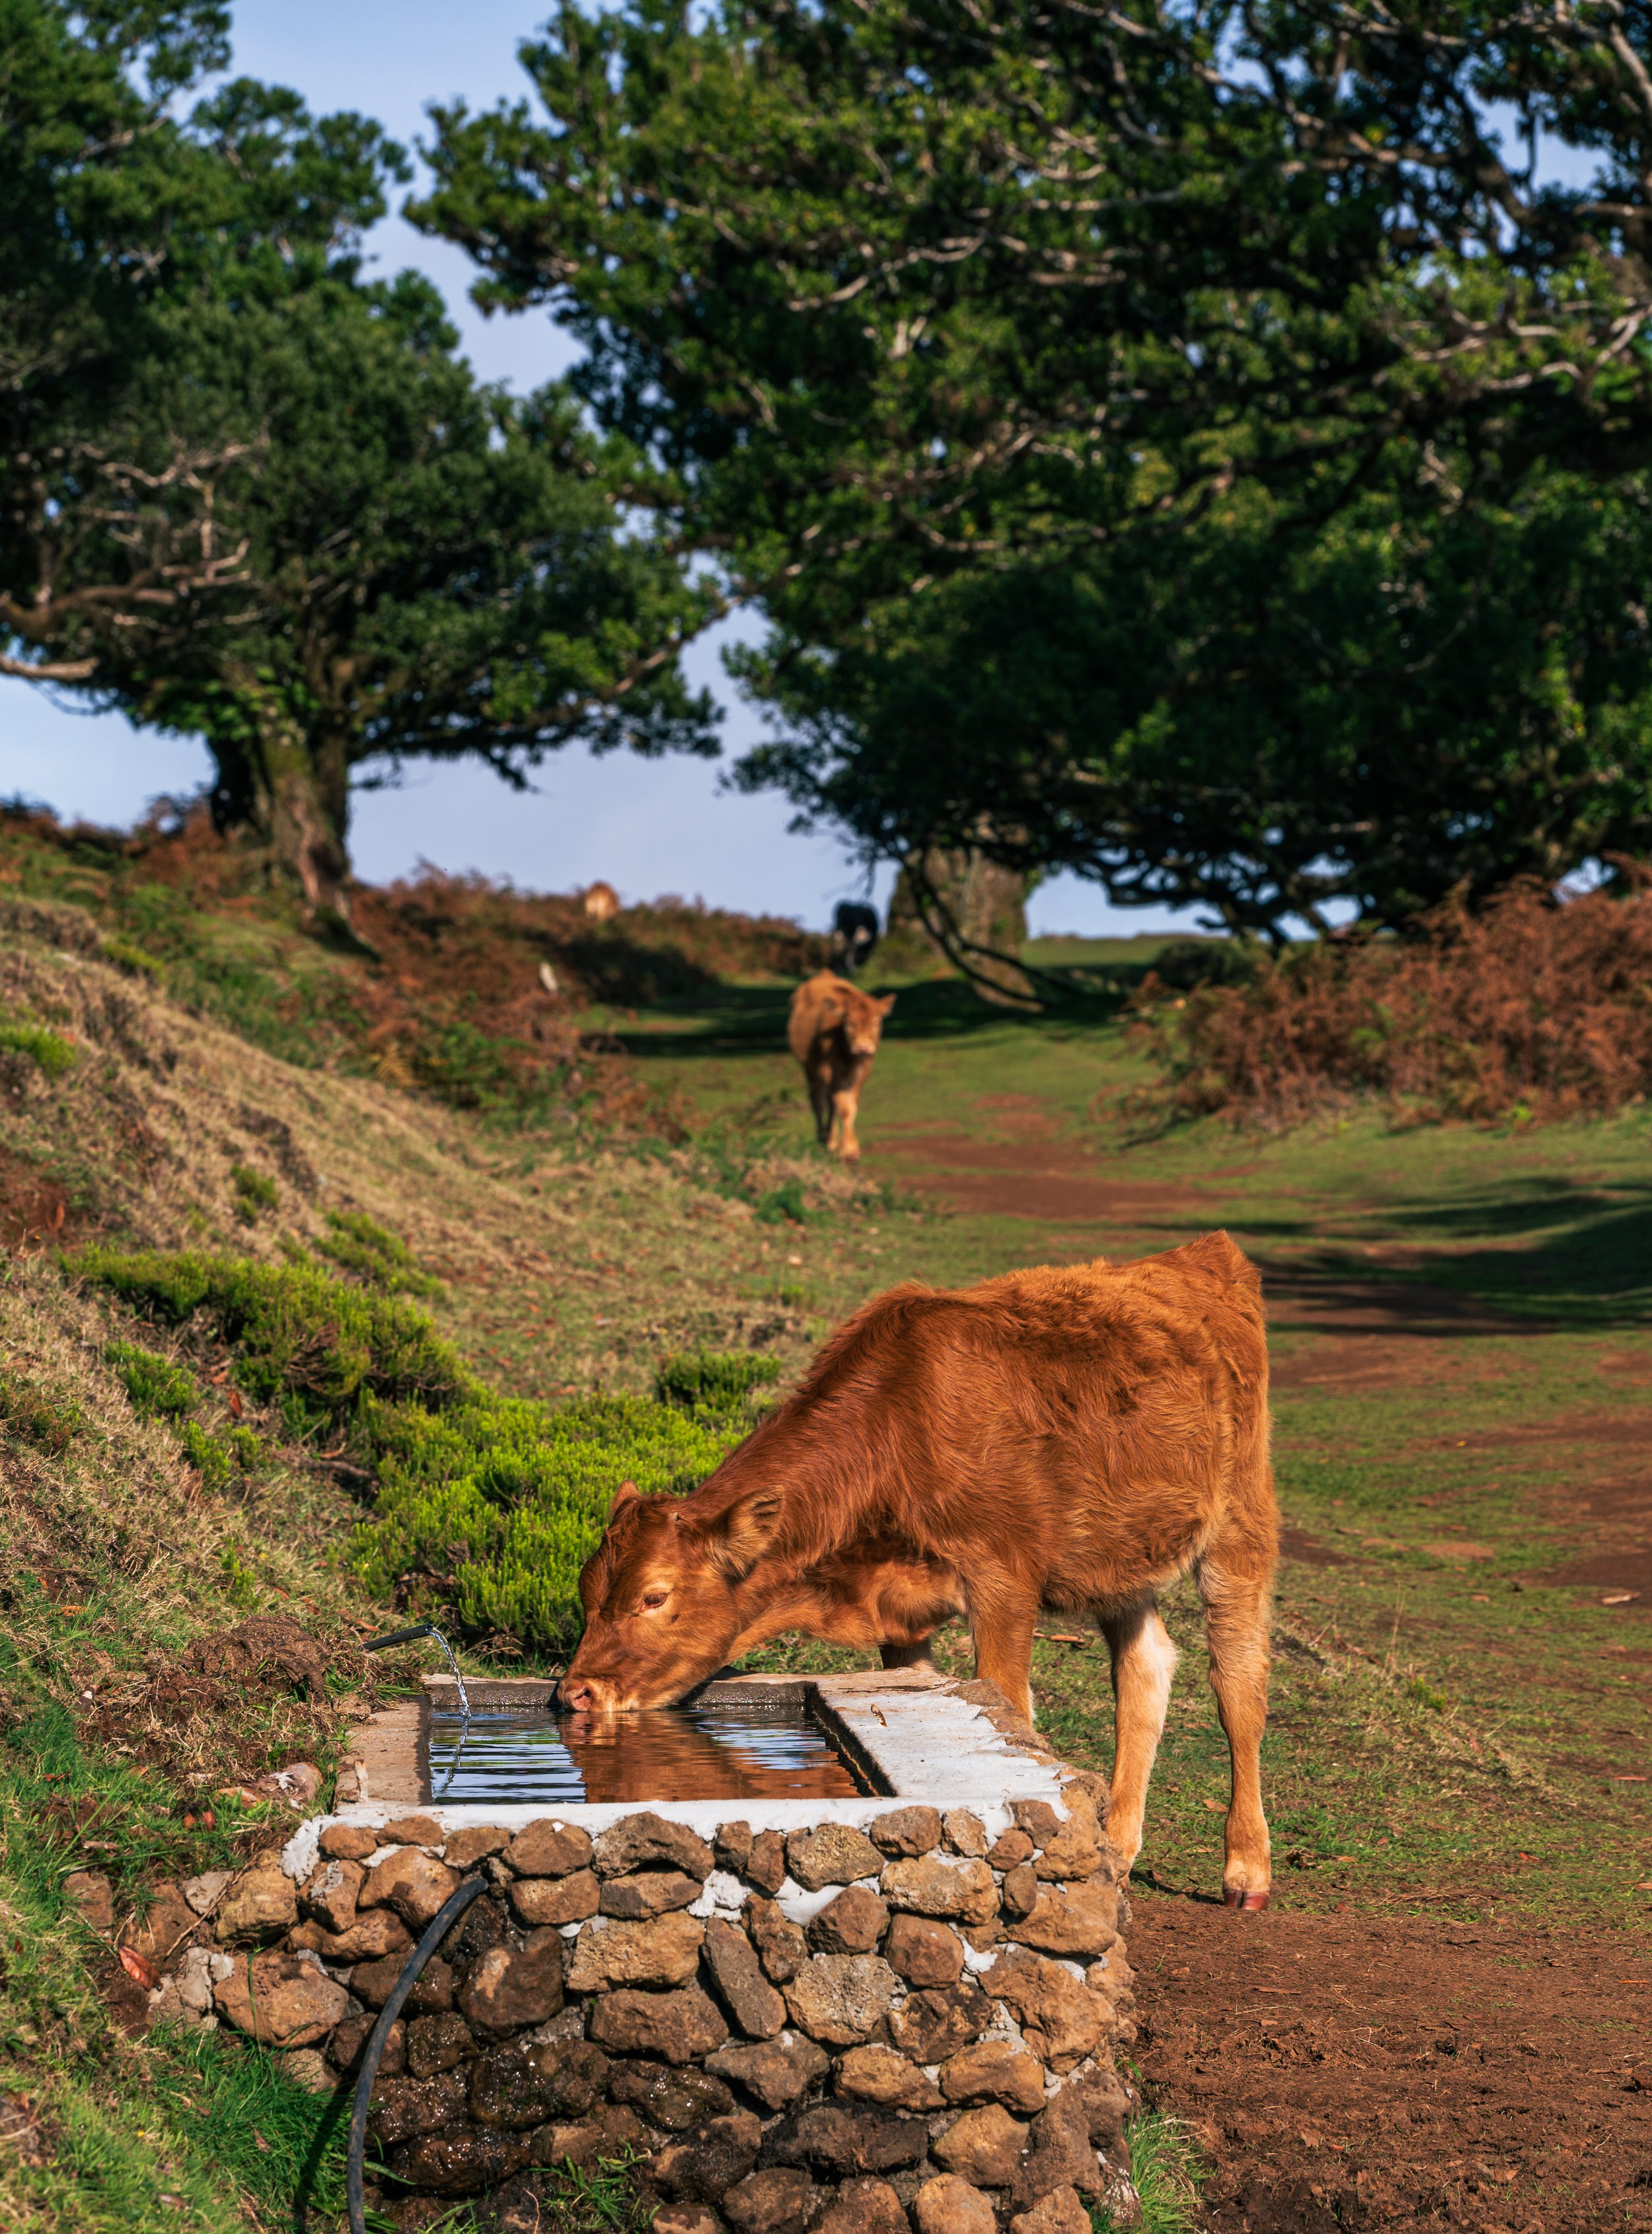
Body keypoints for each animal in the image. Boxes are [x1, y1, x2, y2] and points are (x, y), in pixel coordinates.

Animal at [560, 1232, 1278, 1910]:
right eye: (588, 1591)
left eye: (655, 1597)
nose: (576, 1693)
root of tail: (1199, 1254)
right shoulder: (901, 1613)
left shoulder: (1004, 1583)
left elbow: (1007, 1703)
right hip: (1122, 1555)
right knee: (1144, 1666)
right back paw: (1119, 1849)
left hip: (1240, 1524)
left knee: (1237, 1685)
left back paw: (1246, 1868)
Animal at [788, 970, 895, 1161]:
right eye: (849, 1022)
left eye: (877, 1022)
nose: (863, 1046)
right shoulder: (831, 1072)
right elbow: (844, 1107)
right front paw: (849, 1151)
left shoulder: (861, 1073)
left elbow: (852, 1105)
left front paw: (849, 1147)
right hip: (811, 1069)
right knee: (818, 1101)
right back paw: (824, 1139)